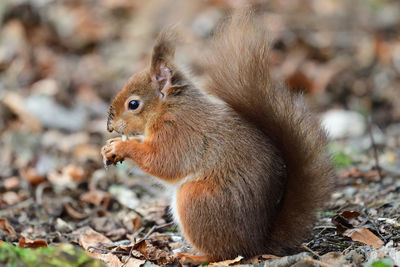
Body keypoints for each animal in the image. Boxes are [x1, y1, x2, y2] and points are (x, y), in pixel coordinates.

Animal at [101, 12, 334, 264]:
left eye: (133, 104)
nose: (109, 126)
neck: (168, 107)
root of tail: (257, 242)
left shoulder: (179, 132)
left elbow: (163, 162)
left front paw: (122, 146)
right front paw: (111, 146)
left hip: (196, 201)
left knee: (223, 253)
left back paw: (192, 256)